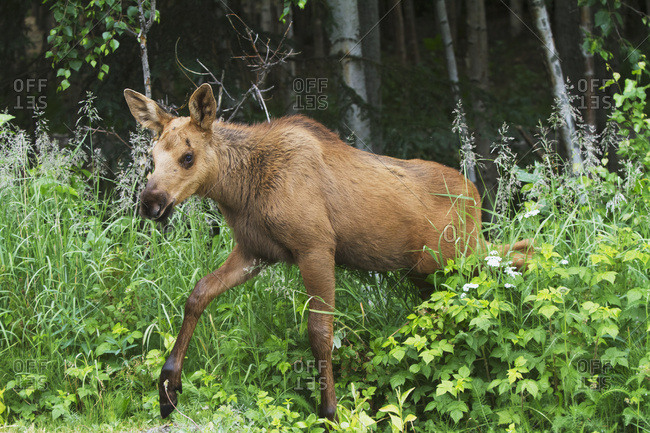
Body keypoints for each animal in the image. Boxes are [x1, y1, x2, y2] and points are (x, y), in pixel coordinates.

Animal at [124, 83, 533, 421]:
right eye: (151, 156)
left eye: (188, 156)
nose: (150, 203)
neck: (239, 191)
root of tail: (476, 197)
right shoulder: (256, 250)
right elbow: (198, 293)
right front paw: (168, 389)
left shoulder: (316, 246)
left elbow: (321, 331)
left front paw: (330, 411)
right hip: (428, 270)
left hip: (459, 255)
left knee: (517, 257)